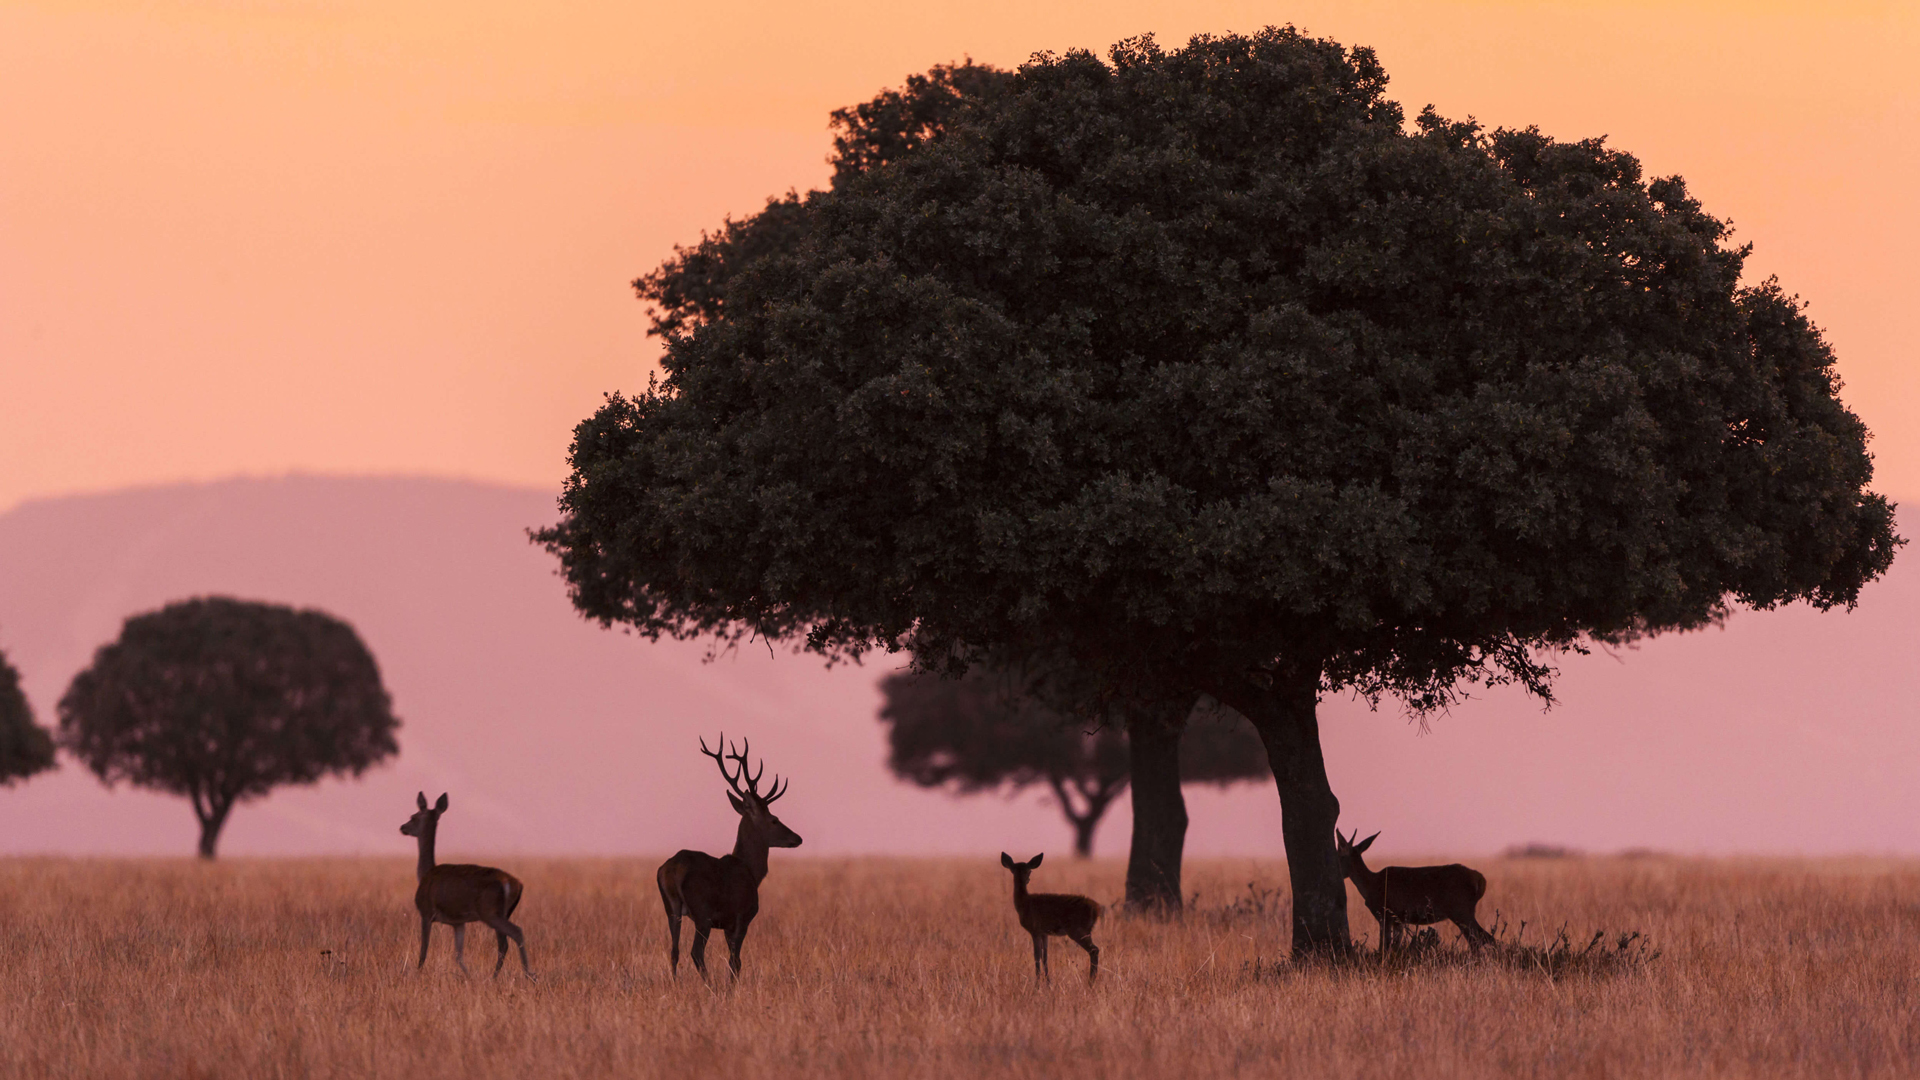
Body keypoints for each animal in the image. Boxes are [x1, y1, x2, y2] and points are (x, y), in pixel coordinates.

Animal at [398, 792, 535, 979]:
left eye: (413, 816)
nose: (402, 827)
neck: (425, 873)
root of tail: (515, 884)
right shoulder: (458, 923)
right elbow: (458, 955)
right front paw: (470, 977)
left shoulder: (426, 913)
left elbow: (423, 952)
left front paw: (417, 974)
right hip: (503, 912)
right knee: (503, 944)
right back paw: (496, 976)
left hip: (489, 912)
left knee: (516, 933)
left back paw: (527, 975)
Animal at [656, 735, 802, 981]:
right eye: (774, 819)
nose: (797, 838)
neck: (751, 871)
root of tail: (672, 870)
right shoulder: (741, 917)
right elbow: (736, 961)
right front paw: (731, 986)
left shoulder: (725, 925)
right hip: (702, 911)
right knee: (696, 952)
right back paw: (709, 985)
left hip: (671, 908)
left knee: (674, 951)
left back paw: (675, 984)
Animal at [1000, 852, 1102, 984]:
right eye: (1014, 870)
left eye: (1030, 871)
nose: (1027, 880)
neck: (1024, 903)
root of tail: (1096, 909)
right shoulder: (1045, 933)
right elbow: (1045, 956)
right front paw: (1048, 983)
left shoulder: (1035, 930)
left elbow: (1036, 956)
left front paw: (1037, 984)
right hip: (1086, 930)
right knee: (1094, 949)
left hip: (1077, 930)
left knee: (1094, 949)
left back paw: (1090, 981)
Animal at [1337, 829, 1495, 953]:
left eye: (1339, 854)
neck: (1371, 884)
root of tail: (1480, 880)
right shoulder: (1398, 920)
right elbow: (1395, 945)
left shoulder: (1385, 913)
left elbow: (1384, 945)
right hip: (1463, 912)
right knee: (1481, 939)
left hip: (1460, 910)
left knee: (1482, 939)